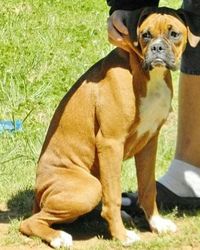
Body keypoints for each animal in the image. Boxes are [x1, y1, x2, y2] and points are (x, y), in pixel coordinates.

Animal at [19, 7, 199, 248]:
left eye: (174, 34)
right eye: (146, 35)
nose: (157, 48)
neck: (144, 74)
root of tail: (38, 194)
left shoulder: (149, 142)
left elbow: (147, 187)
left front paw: (156, 224)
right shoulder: (111, 143)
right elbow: (113, 197)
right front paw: (122, 235)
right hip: (88, 188)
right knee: (31, 222)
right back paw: (58, 237)